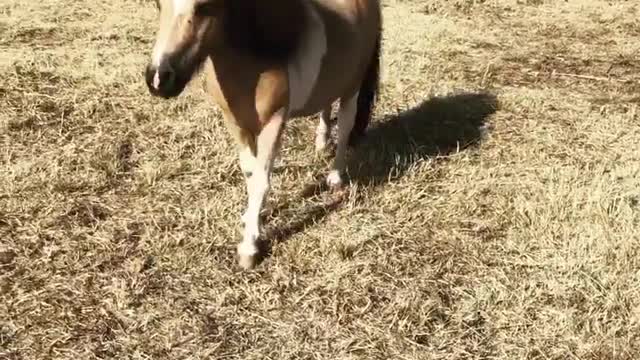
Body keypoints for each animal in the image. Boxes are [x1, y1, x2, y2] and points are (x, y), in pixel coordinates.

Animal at [146, 0, 382, 270]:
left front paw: (249, 248)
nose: (158, 79)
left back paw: (335, 176)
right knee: (325, 105)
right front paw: (250, 217)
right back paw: (322, 144)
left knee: (344, 127)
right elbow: (250, 173)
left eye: (204, 6)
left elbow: (261, 180)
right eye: (158, 5)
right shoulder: (237, 124)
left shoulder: (273, 123)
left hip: (352, 88)